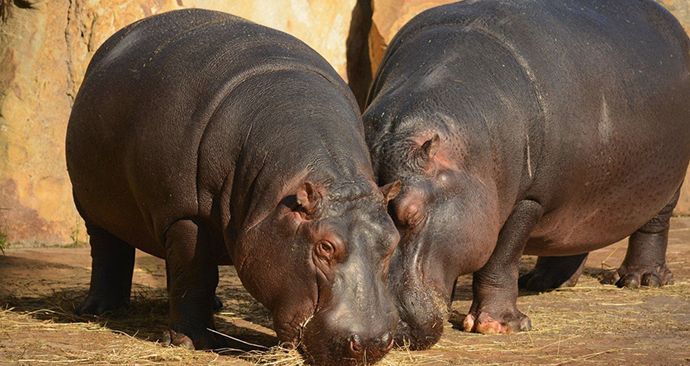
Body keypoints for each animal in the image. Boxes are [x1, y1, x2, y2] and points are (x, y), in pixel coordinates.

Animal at [67, 9, 400, 366]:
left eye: (393, 241)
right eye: (324, 247)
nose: (372, 343)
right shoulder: (185, 216)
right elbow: (194, 274)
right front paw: (190, 342)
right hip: (91, 206)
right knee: (109, 250)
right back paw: (100, 311)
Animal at [362, 0, 688, 348]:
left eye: (412, 213)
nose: (390, 330)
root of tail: (667, 18)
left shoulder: (530, 200)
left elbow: (501, 258)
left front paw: (498, 326)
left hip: (667, 183)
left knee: (654, 226)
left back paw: (641, 279)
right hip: (582, 186)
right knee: (573, 231)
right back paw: (543, 281)